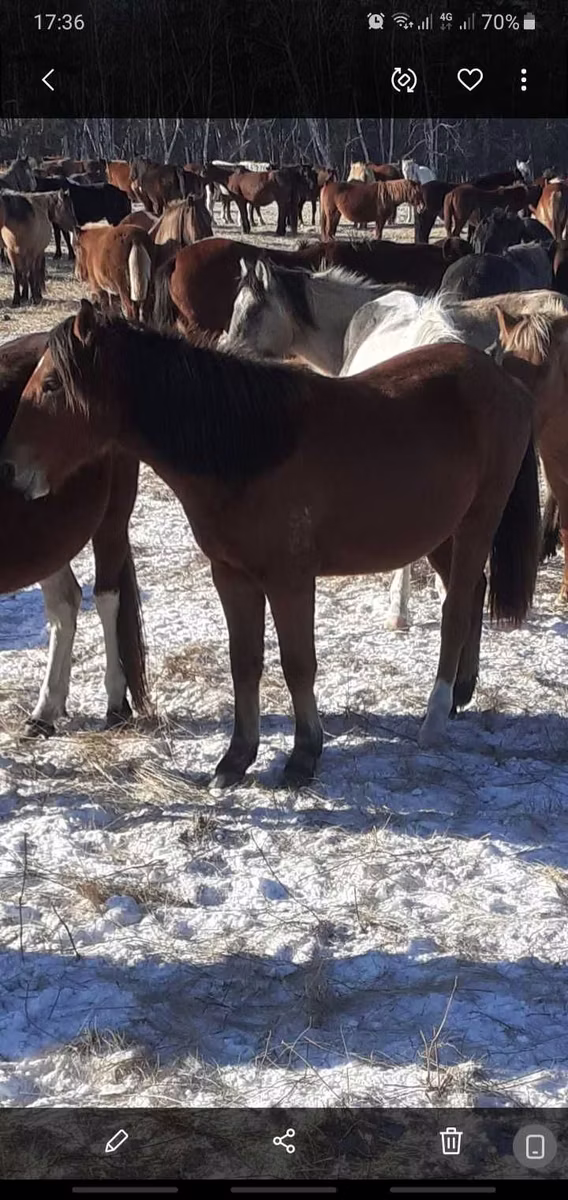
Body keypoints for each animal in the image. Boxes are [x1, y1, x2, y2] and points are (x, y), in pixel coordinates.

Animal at [0, 330, 148, 733]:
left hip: (112, 520)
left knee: (106, 598)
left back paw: (115, 703)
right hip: (47, 540)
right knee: (65, 603)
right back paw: (46, 710)